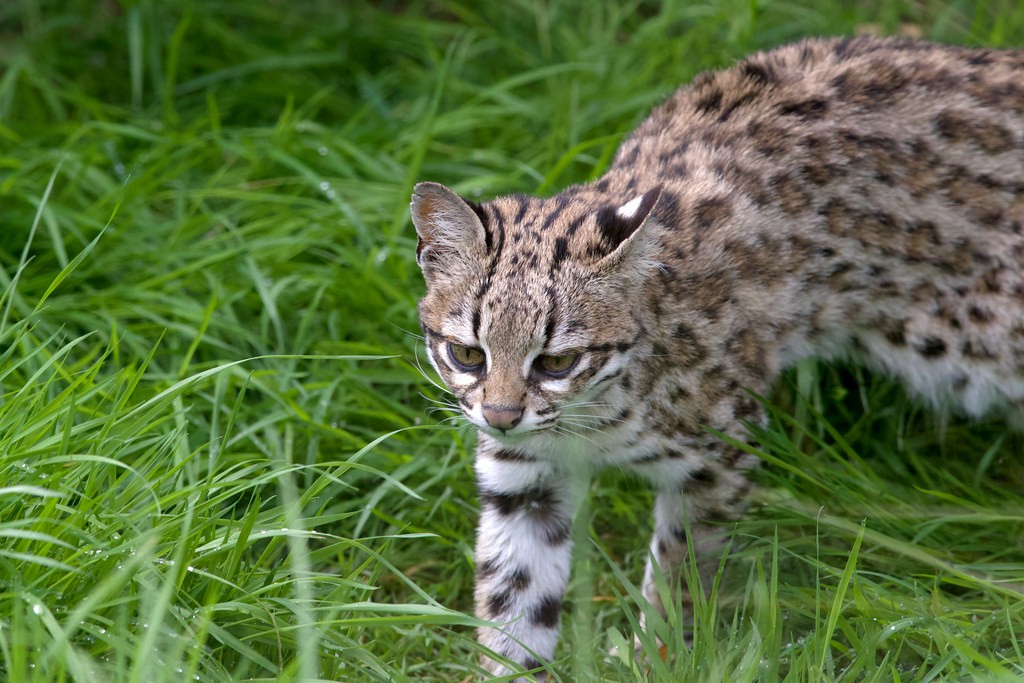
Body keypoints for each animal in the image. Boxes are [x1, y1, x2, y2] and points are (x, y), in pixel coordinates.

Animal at [409, 37, 1024, 679]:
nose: (501, 416)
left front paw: (655, 658)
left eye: (556, 363)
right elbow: (514, 594)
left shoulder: (717, 457)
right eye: (466, 354)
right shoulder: (523, 475)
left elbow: (678, 578)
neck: (594, 411)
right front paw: (510, 664)